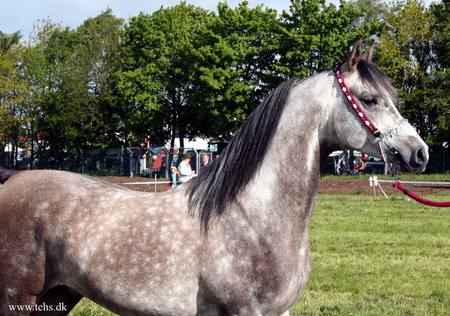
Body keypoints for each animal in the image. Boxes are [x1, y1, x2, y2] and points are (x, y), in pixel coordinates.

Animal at [0, 40, 428, 314]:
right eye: (370, 99)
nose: (419, 152)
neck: (255, 216)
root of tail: (12, 180)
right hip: (17, 297)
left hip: (57, 297)